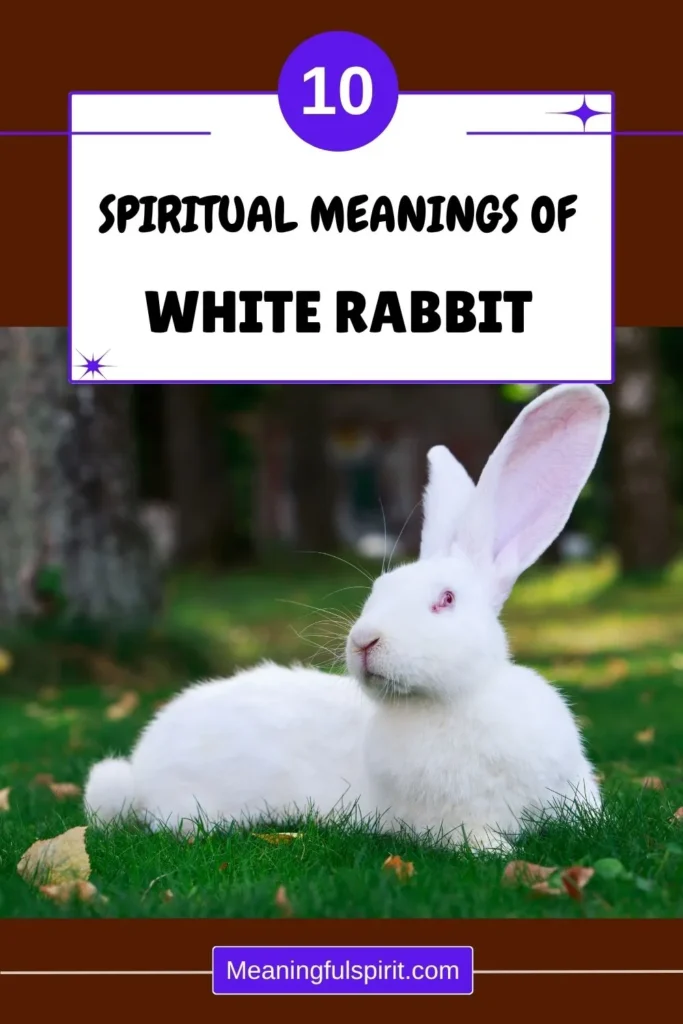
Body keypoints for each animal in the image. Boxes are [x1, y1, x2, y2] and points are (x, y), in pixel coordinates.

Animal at [346, 382, 608, 850]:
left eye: (446, 599)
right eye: (377, 591)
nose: (364, 641)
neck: (449, 701)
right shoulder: (446, 820)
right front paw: (497, 851)